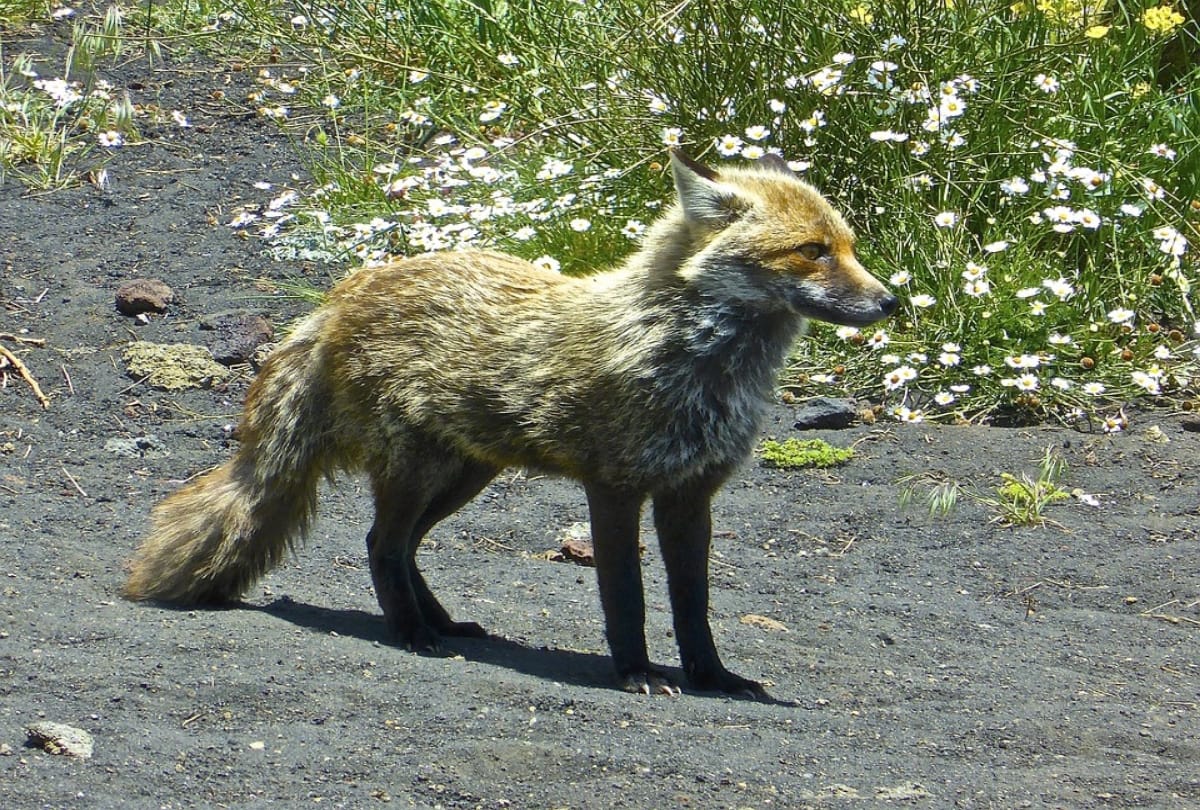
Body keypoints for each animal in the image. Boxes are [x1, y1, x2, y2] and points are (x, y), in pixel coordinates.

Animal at [123, 150, 896, 698]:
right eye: (812, 251)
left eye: (850, 247)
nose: (891, 301)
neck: (692, 362)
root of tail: (343, 293)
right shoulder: (615, 485)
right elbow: (626, 594)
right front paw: (635, 673)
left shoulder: (689, 493)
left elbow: (693, 605)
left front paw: (712, 678)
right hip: (419, 470)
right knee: (380, 544)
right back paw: (411, 633)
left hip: (465, 475)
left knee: (402, 548)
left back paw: (440, 622)